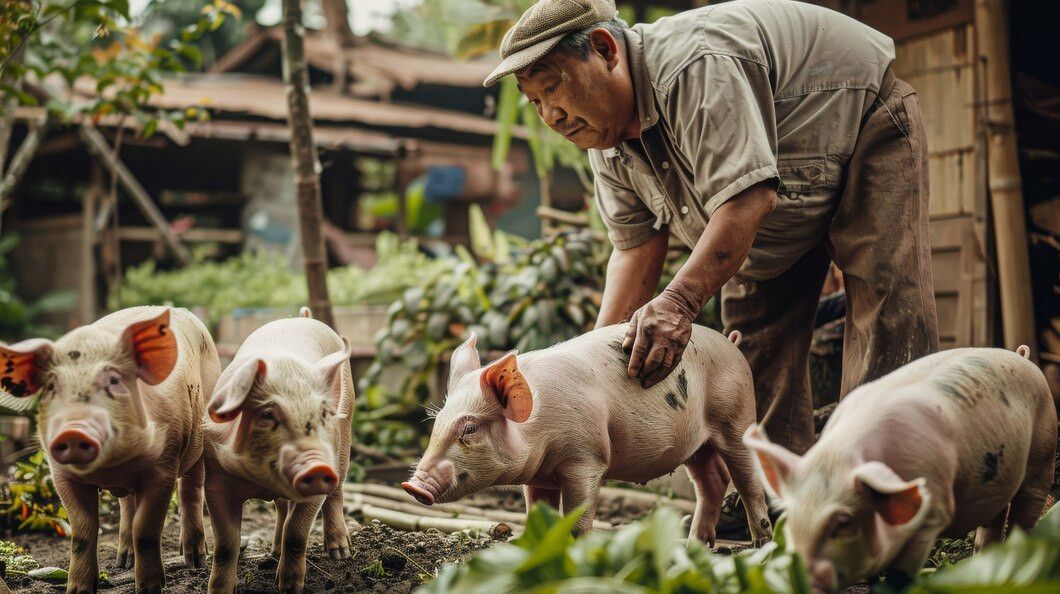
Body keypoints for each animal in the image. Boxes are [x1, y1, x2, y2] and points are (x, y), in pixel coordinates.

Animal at [0, 305, 219, 594]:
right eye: (50, 386)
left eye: (114, 381)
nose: (74, 430)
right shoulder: (61, 476)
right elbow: (82, 532)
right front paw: (78, 589)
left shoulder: (164, 465)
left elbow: (146, 530)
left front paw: (150, 588)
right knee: (127, 504)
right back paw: (122, 562)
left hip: (202, 436)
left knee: (191, 490)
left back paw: (194, 560)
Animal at [202, 311, 356, 594]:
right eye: (267, 415)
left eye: (323, 413)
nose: (317, 465)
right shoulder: (216, 481)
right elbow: (226, 546)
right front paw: (219, 590)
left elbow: (296, 533)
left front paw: (288, 588)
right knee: (282, 508)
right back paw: (273, 552)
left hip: (345, 435)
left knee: (337, 492)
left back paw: (341, 553)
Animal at [400, 322, 775, 547]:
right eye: (437, 422)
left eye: (469, 428)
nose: (412, 486)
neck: (541, 430)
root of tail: (731, 343)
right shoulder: (537, 477)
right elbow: (537, 516)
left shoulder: (586, 460)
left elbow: (578, 519)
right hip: (697, 445)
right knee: (711, 481)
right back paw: (696, 545)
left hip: (737, 418)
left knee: (748, 481)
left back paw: (762, 546)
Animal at [746, 345, 1060, 589]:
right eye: (791, 520)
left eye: (843, 522)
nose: (800, 579)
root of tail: (1021, 356)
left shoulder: (933, 514)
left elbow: (898, 578)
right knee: (993, 523)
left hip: (1043, 453)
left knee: (1026, 512)